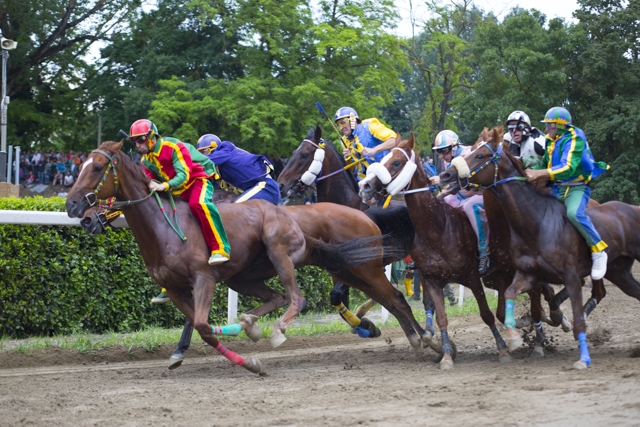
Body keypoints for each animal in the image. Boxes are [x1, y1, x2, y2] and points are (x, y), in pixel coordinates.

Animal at [69, 141, 433, 371]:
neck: (167, 225)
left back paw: (422, 339)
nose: (77, 211)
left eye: (97, 167)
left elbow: (200, 321)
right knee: (387, 299)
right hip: (337, 269)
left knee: (384, 298)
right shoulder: (181, 284)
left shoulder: (204, 276)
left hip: (356, 267)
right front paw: (181, 351)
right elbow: (195, 321)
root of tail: (366, 216)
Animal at [437, 126, 640, 369]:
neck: (536, 222)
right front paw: (516, 336)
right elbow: (509, 301)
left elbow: (568, 316)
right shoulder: (525, 274)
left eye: (479, 155)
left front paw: (566, 348)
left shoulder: (569, 277)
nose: (446, 175)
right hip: (620, 272)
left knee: (598, 293)